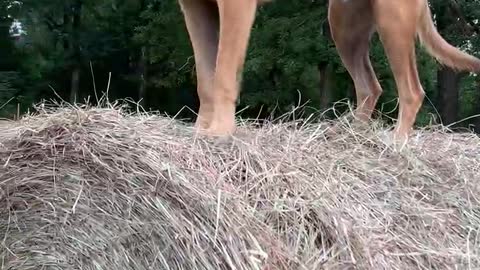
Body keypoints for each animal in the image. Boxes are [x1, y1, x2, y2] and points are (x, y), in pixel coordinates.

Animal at [177, 0, 480, 141]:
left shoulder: (235, 6)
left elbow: (223, 73)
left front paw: (220, 131)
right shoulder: (195, 8)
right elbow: (205, 79)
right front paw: (200, 129)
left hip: (391, 19)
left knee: (411, 90)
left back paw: (396, 143)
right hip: (344, 25)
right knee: (370, 86)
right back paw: (353, 135)